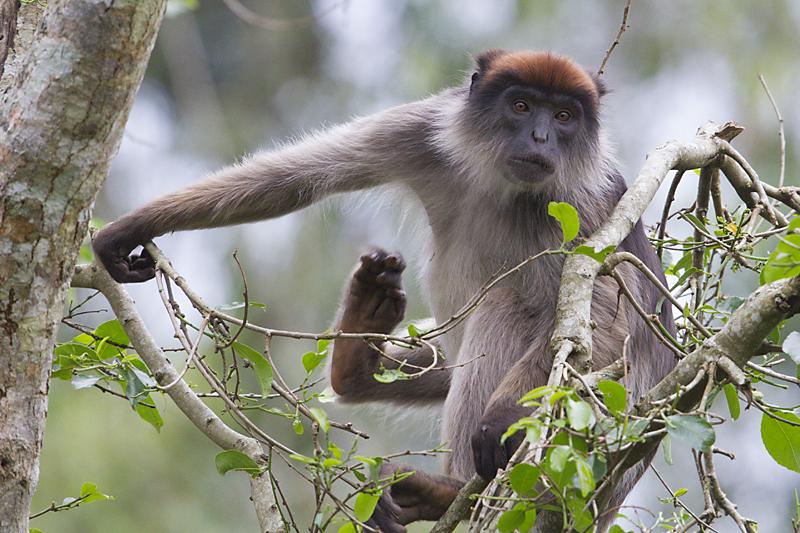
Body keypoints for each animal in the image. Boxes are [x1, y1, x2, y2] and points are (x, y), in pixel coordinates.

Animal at [97, 51, 680, 532]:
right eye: (521, 106)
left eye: (563, 118)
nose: (540, 138)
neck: (502, 183)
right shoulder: (425, 129)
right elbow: (292, 178)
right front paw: (131, 227)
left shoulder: (585, 198)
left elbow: (608, 324)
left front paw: (502, 420)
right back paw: (358, 351)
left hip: (588, 448)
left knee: (514, 309)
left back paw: (453, 488)